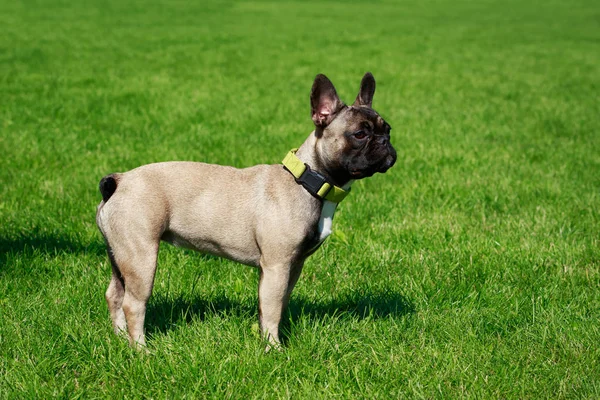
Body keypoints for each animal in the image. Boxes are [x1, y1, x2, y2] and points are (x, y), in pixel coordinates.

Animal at [96, 73, 396, 348]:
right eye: (360, 134)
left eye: (388, 129)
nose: (385, 143)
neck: (307, 181)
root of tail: (120, 181)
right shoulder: (277, 265)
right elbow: (273, 309)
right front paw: (274, 349)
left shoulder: (291, 266)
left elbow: (273, 306)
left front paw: (267, 339)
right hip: (142, 256)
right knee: (133, 304)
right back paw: (141, 349)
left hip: (119, 253)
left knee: (115, 295)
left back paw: (121, 338)